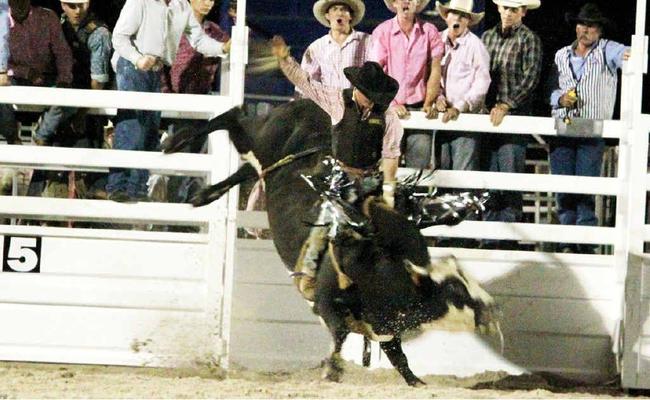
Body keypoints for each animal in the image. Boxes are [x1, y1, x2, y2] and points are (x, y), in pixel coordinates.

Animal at [162, 100, 496, 388]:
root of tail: (305, 104)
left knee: (248, 165)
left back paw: (203, 194)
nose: (490, 308)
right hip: (260, 136)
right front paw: (331, 370)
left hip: (267, 161)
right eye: (457, 289)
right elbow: (340, 334)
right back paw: (176, 142)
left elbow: (396, 354)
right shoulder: (327, 302)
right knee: (233, 115)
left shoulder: (381, 323)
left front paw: (416, 382)